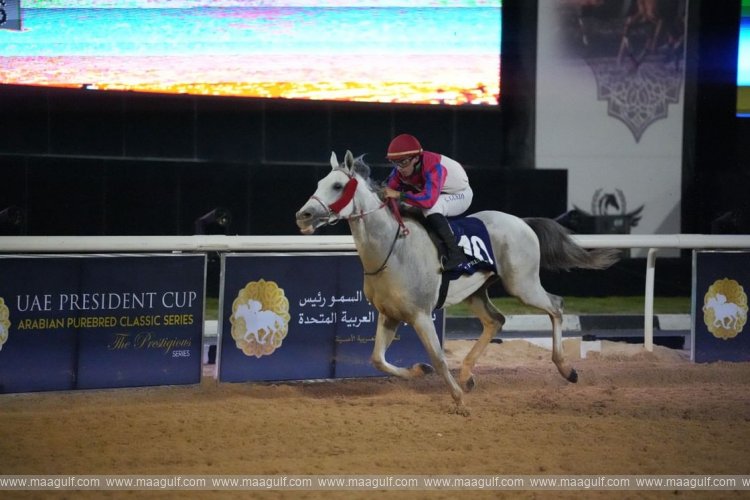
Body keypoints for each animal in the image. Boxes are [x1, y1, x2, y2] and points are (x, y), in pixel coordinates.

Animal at [295, 151, 619, 414]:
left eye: (338, 186)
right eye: (320, 182)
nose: (303, 215)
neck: (392, 248)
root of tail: (522, 222)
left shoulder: (420, 314)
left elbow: (438, 358)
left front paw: (458, 400)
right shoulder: (389, 314)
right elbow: (377, 359)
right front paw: (420, 371)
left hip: (522, 284)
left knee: (556, 305)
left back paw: (567, 369)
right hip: (476, 291)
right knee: (496, 320)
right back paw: (467, 375)